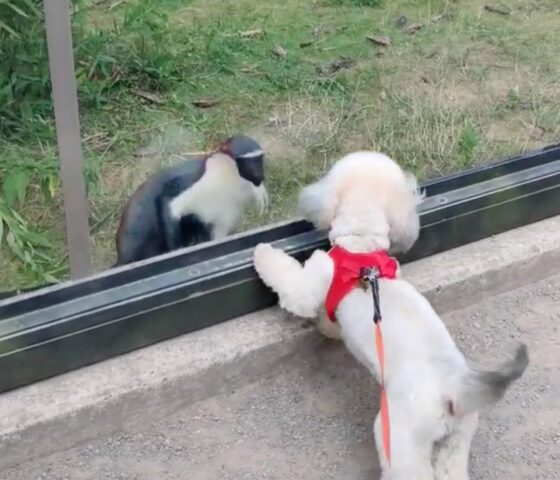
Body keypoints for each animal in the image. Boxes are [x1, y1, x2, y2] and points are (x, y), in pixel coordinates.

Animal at [114, 135, 266, 266]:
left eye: (260, 160)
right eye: (250, 163)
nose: (260, 176)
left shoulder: (224, 216)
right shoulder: (193, 183)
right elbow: (167, 202)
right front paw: (178, 251)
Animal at [254, 152, 528, 480]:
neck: (362, 246)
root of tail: (453, 389)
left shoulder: (313, 282)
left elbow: (292, 285)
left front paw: (261, 252)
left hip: (399, 436)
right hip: (457, 440)